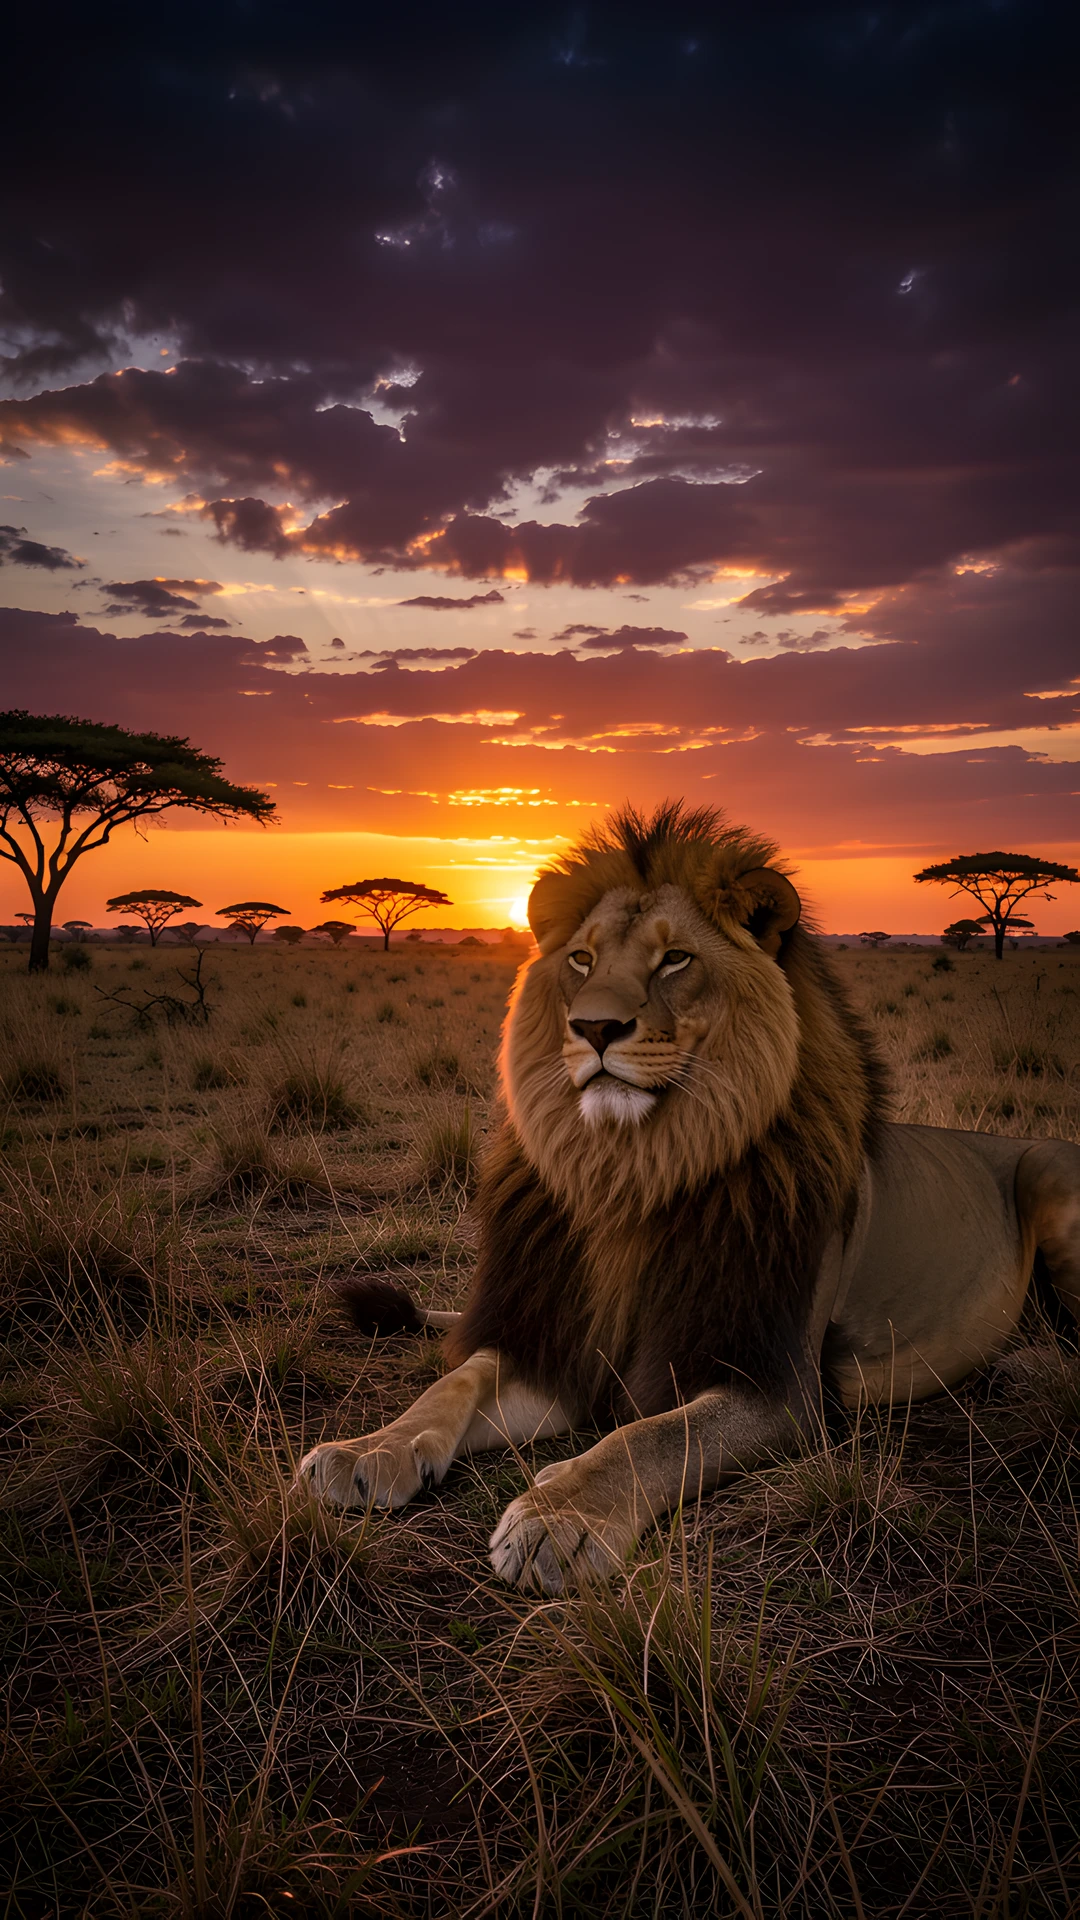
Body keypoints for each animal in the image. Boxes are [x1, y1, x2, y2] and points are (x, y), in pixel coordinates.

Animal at [297, 802, 1080, 1593]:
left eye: (674, 960)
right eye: (581, 960)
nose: (594, 1027)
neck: (634, 1173)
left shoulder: (775, 1383)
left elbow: (650, 1438)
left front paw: (560, 1516)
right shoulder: (557, 1345)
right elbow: (455, 1383)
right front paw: (368, 1451)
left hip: (1051, 1169)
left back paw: (1025, 1368)